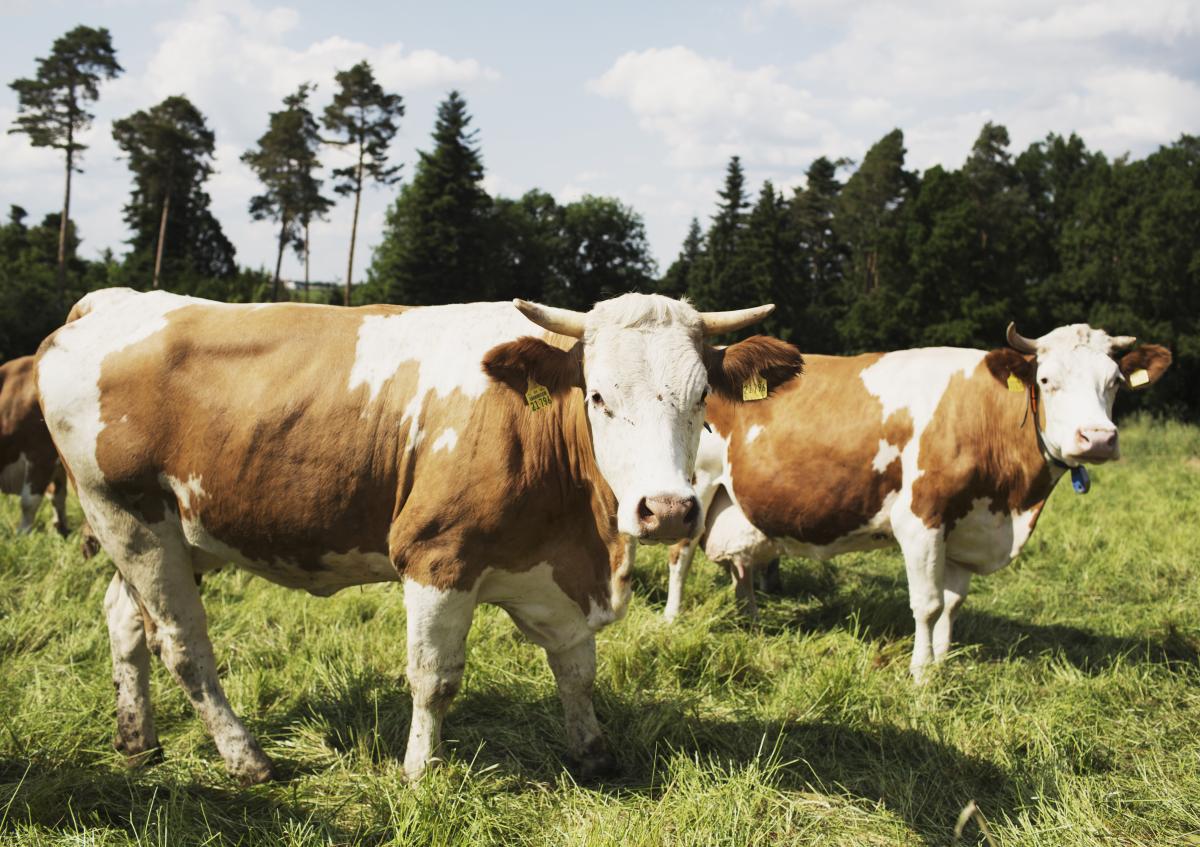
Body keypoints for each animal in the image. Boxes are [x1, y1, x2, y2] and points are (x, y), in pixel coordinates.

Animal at [36, 288, 803, 784]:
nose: (667, 511)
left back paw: (137, 740)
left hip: (178, 531)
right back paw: (246, 758)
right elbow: (435, 677)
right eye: (598, 396)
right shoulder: (436, 557)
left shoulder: (555, 572)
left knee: (124, 619)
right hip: (129, 516)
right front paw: (421, 770)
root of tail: (108, 303)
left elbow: (577, 668)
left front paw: (592, 752)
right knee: (181, 644)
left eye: (701, 396)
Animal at [664, 323, 1172, 679]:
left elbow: (953, 602)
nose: (1098, 438)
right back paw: (672, 616)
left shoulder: (964, 526)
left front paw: (944, 659)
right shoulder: (920, 520)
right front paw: (922, 671)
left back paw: (748, 617)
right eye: (1046, 380)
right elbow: (926, 603)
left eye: (1115, 382)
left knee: (741, 564)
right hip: (697, 487)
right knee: (680, 555)